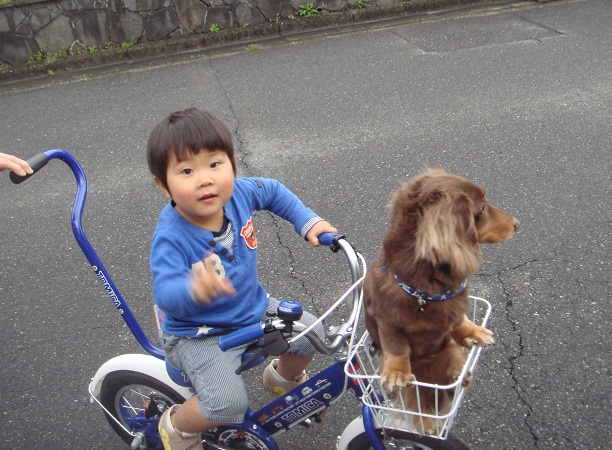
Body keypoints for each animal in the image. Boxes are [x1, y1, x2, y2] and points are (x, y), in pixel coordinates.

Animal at [363, 169, 519, 434]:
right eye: (482, 207)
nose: (517, 223)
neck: (425, 292)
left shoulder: (454, 310)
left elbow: (458, 322)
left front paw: (473, 331)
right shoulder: (386, 319)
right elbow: (396, 346)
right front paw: (396, 372)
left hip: (452, 352)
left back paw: (461, 375)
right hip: (414, 387)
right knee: (418, 402)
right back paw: (426, 421)